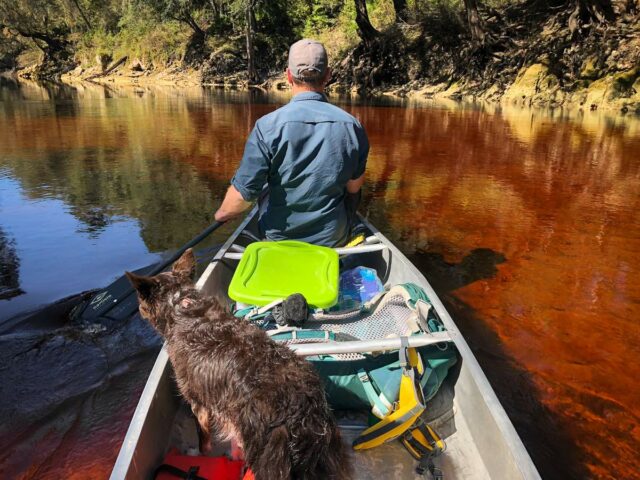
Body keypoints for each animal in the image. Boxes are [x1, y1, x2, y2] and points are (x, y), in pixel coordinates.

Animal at [126, 249, 350, 478]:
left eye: (141, 300)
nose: (139, 309)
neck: (181, 304)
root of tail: (299, 410)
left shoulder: (197, 401)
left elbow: (203, 437)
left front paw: (199, 452)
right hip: (326, 453)